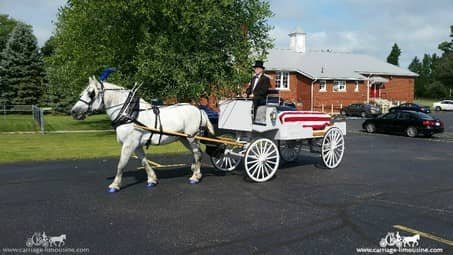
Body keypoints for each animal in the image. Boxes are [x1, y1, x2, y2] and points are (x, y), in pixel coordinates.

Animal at [70, 76, 214, 192]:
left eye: (91, 93)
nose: (74, 111)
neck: (129, 114)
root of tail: (199, 110)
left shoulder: (129, 144)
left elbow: (121, 164)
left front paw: (114, 185)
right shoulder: (137, 145)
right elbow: (144, 161)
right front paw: (152, 180)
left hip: (191, 137)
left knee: (197, 153)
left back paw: (195, 177)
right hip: (183, 139)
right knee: (197, 153)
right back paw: (195, 170)